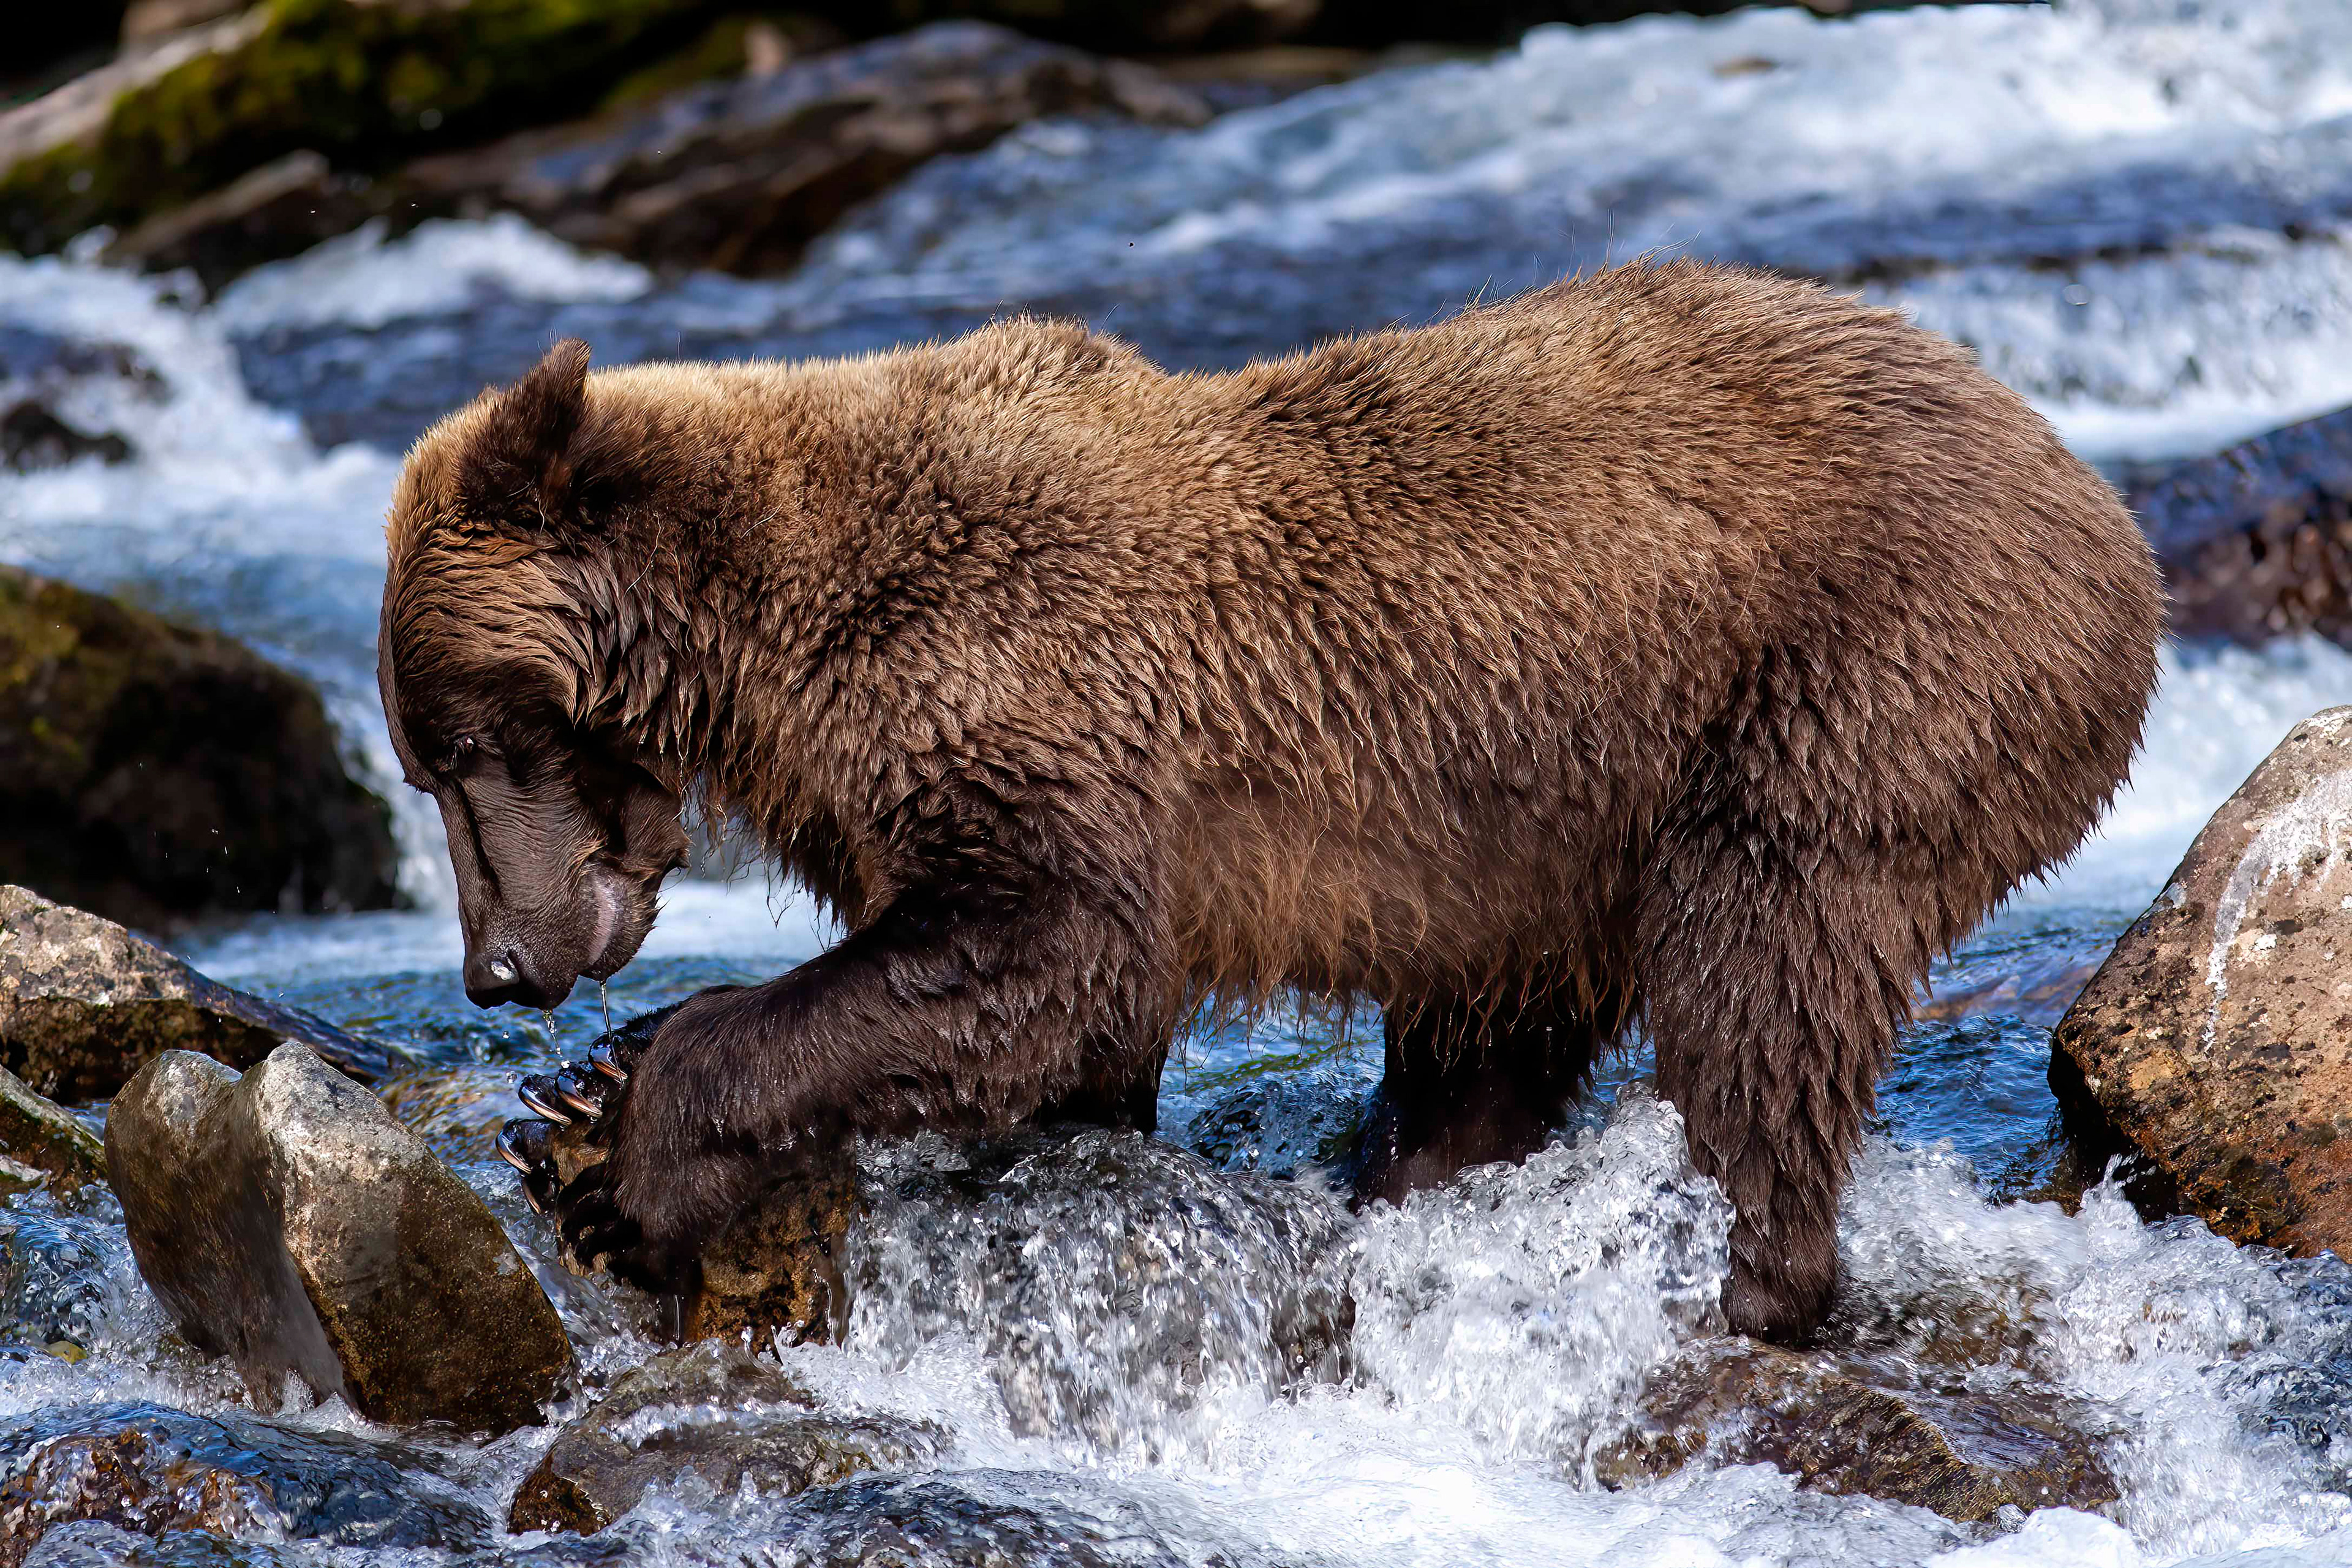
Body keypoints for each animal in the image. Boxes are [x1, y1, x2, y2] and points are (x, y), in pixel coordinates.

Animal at [377, 259, 2164, 1343]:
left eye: (463, 740)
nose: (501, 968)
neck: (762, 641)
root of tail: (2095, 499)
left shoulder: (1016, 687)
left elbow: (1040, 947)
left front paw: (625, 1128)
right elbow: (1055, 1027)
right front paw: (575, 1120)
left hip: (1841, 683)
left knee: (1767, 967)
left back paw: (1754, 1279)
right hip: (1546, 835)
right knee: (1489, 1044)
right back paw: (1414, 1198)